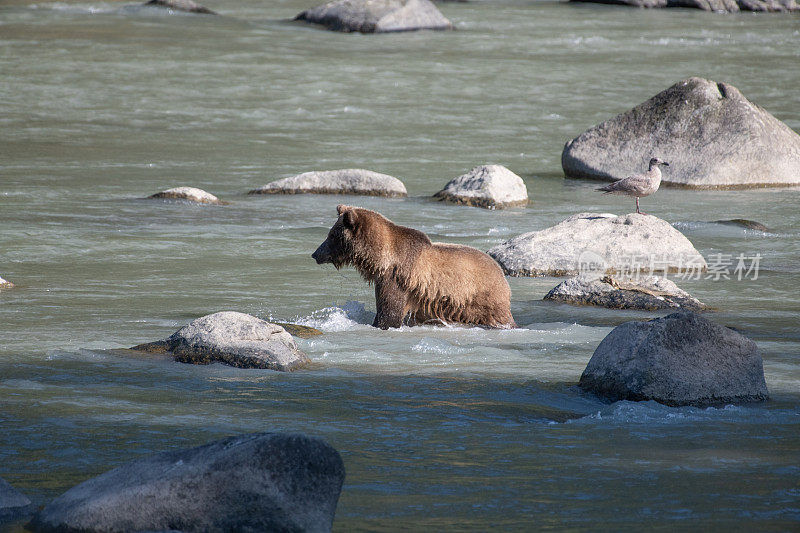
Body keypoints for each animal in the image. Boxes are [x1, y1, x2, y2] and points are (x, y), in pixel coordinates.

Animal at [310, 204, 516, 328]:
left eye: (332, 235)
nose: (315, 254)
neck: (380, 259)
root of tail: (501, 273)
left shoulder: (395, 278)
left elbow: (389, 312)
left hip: (482, 299)